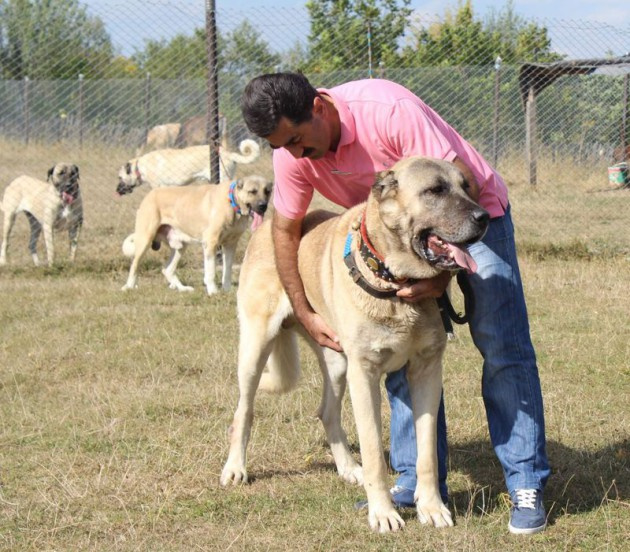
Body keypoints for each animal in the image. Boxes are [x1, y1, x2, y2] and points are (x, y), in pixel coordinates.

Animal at [222, 155, 494, 532]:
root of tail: (268, 225)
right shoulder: (364, 374)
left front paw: (432, 507)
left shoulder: (427, 370)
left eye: (466, 186)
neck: (396, 281)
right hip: (256, 348)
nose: (484, 218)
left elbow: (426, 451)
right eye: (435, 190)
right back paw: (235, 468)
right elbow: (374, 451)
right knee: (243, 411)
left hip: (337, 363)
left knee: (327, 411)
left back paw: (349, 468)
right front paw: (383, 514)